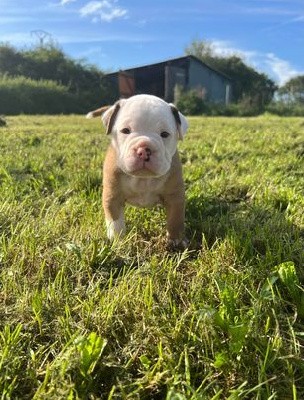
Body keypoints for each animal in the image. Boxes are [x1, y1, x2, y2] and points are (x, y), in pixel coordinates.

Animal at [85, 94, 189, 247]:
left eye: (165, 134)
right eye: (125, 131)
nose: (144, 149)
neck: (143, 179)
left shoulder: (175, 197)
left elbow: (175, 219)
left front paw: (176, 240)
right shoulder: (112, 196)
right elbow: (116, 222)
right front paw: (118, 240)